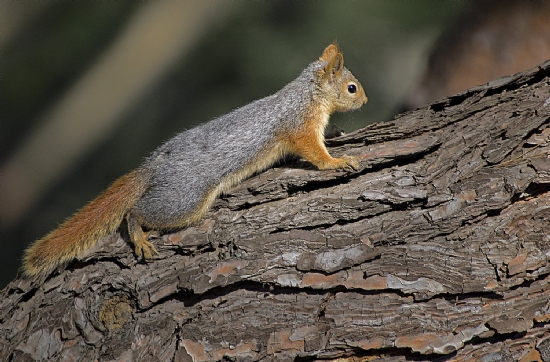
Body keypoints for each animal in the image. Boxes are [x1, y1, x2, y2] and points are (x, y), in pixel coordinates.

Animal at [24, 43, 370, 278]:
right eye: (351, 88)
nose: (366, 100)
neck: (308, 95)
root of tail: (154, 165)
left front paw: (336, 132)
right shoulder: (300, 127)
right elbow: (316, 154)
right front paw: (339, 162)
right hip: (185, 199)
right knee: (136, 212)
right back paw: (139, 236)